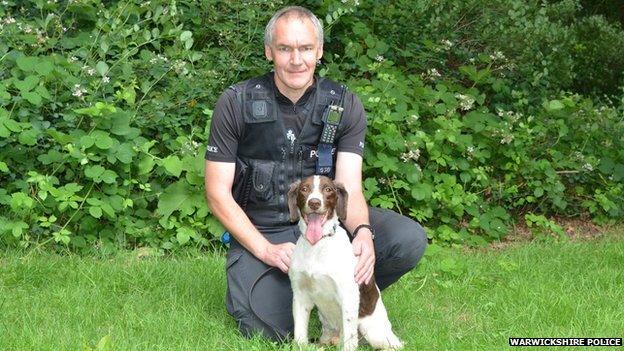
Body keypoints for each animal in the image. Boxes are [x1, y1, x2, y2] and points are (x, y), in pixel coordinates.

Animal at [286, 176, 402, 351]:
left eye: (328, 189)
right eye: (304, 189)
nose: (314, 203)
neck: (317, 246)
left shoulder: (348, 296)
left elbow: (349, 339)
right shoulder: (300, 295)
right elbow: (300, 335)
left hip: (373, 332)